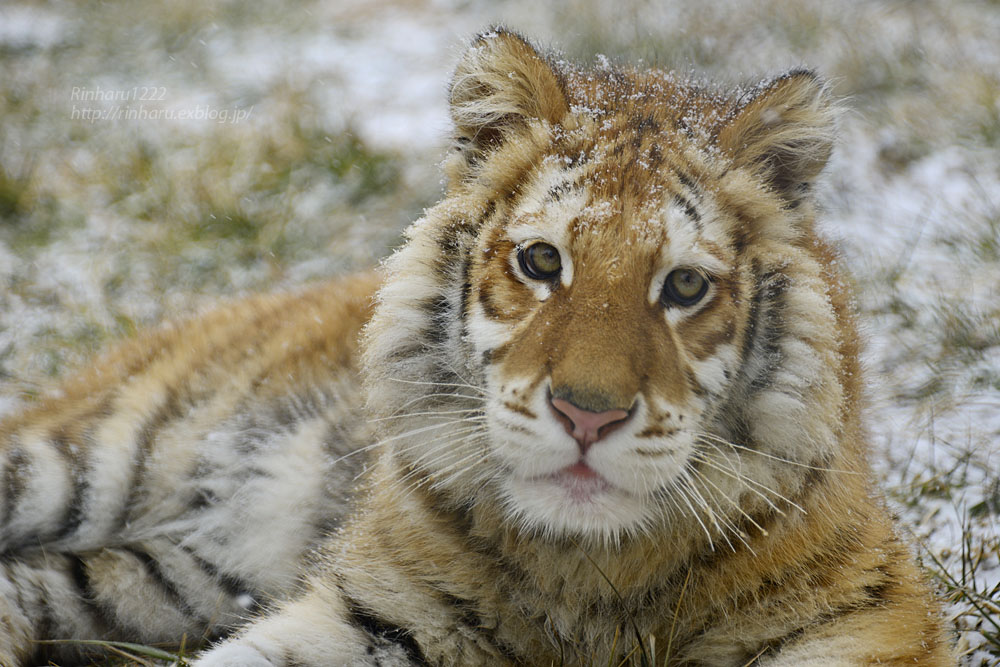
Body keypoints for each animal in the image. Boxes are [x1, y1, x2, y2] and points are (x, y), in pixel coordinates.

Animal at [1, 27, 952, 667]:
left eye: (683, 287)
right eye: (541, 262)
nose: (586, 415)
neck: (588, 573)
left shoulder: (865, 623)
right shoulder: (366, 613)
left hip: (168, 581)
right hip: (87, 458)